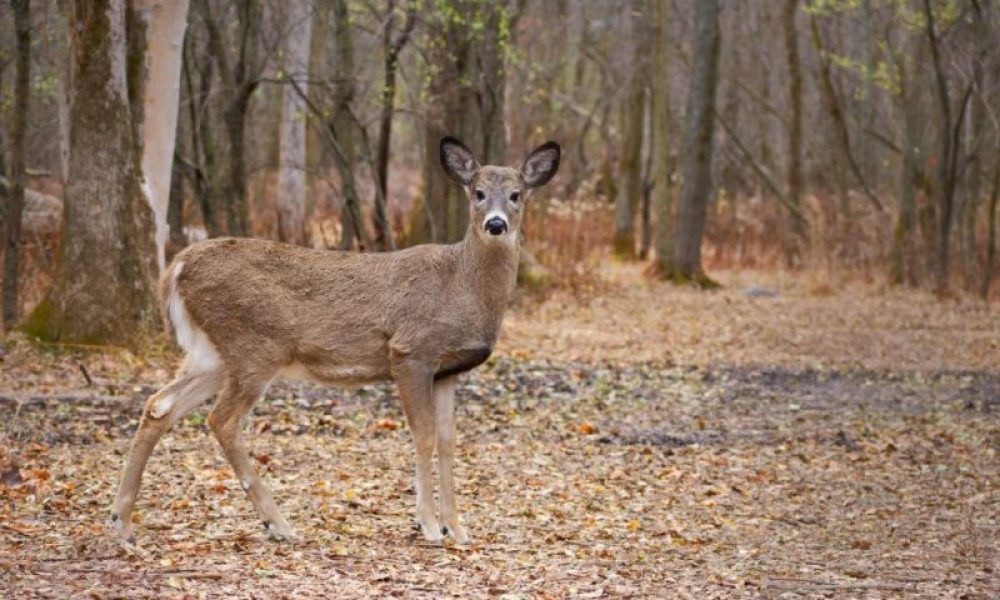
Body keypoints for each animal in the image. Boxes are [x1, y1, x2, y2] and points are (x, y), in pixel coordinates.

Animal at [109, 137, 560, 545]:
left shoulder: (448, 369)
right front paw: (430, 526)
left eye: (517, 195)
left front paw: (459, 529)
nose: (496, 224)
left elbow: (449, 441)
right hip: (253, 346)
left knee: (159, 406)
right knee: (222, 420)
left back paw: (122, 522)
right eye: (478, 193)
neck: (463, 285)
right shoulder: (411, 350)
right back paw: (279, 524)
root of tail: (178, 266)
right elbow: (424, 435)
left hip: (213, 354)